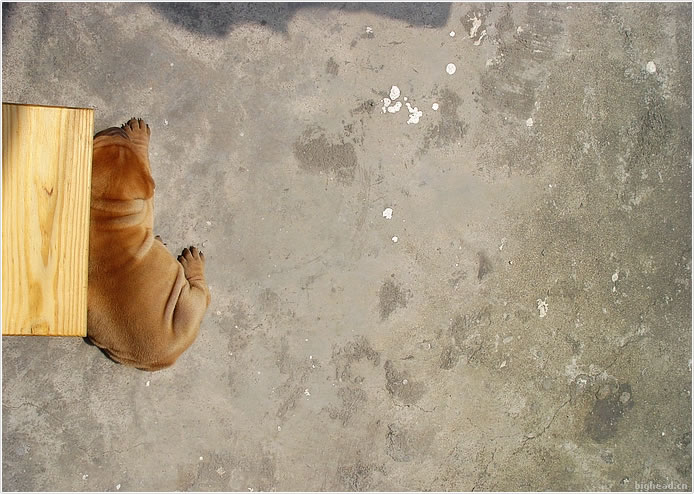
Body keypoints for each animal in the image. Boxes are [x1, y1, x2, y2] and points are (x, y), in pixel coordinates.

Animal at [88, 116, 211, 370]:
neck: (103, 206)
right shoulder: (146, 204)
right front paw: (138, 135)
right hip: (191, 305)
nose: (117, 131)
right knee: (203, 293)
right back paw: (192, 262)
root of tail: (163, 359)